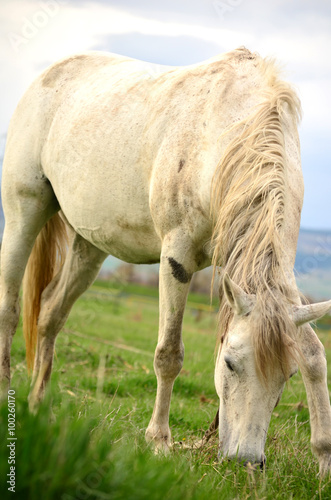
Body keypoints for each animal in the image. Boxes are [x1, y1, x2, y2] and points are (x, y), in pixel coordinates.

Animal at [0, 46, 331, 472]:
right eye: (229, 364)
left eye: (286, 376)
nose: (245, 461)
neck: (226, 132)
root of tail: (49, 74)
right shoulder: (178, 256)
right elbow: (169, 355)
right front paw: (159, 441)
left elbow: (314, 355)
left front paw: (323, 460)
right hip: (24, 213)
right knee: (10, 309)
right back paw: (6, 397)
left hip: (88, 245)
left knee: (51, 314)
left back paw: (38, 406)